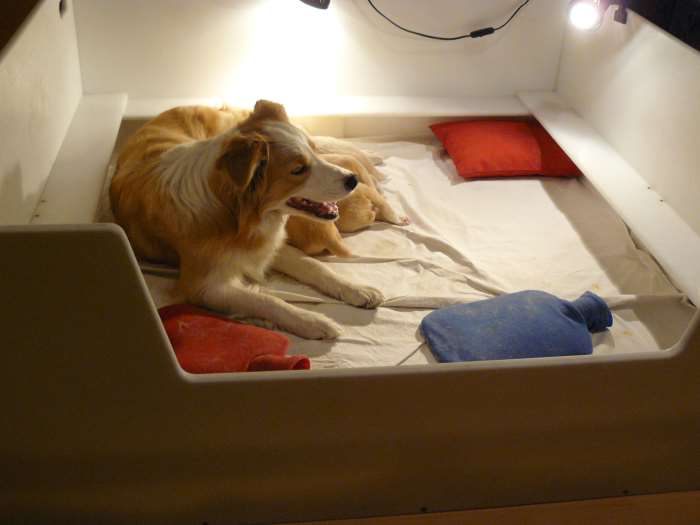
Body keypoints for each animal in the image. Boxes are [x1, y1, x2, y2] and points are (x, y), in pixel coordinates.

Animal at [110, 100, 384, 339]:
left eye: (313, 155)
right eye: (298, 170)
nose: (352, 180)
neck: (236, 214)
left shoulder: (267, 244)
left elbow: (315, 266)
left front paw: (356, 289)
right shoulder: (202, 286)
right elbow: (267, 299)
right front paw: (314, 322)